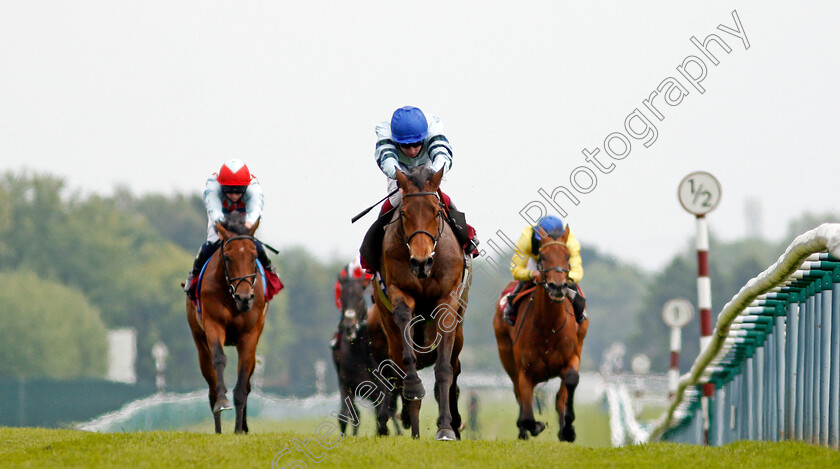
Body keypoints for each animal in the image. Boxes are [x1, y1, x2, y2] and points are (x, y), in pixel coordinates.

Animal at [187, 211, 270, 432]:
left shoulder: (249, 335)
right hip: (200, 343)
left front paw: (239, 429)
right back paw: (218, 426)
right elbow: (219, 359)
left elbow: (243, 381)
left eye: (254, 256)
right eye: (227, 257)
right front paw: (223, 402)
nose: (244, 298)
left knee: (247, 380)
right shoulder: (213, 324)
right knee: (211, 385)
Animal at [488, 229, 588, 440]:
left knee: (560, 395)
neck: (548, 328)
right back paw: (523, 432)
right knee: (518, 392)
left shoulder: (572, 357)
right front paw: (534, 426)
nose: (557, 286)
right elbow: (526, 413)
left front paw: (568, 428)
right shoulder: (525, 371)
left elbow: (570, 381)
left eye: (567, 256)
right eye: (542, 256)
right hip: (505, 354)